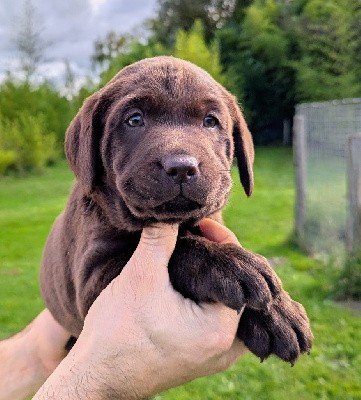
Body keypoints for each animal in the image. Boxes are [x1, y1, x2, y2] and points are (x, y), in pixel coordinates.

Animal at [38, 57, 310, 366]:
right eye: (134, 120)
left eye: (210, 121)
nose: (181, 167)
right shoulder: (94, 281)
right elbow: (181, 250)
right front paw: (232, 265)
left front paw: (279, 312)